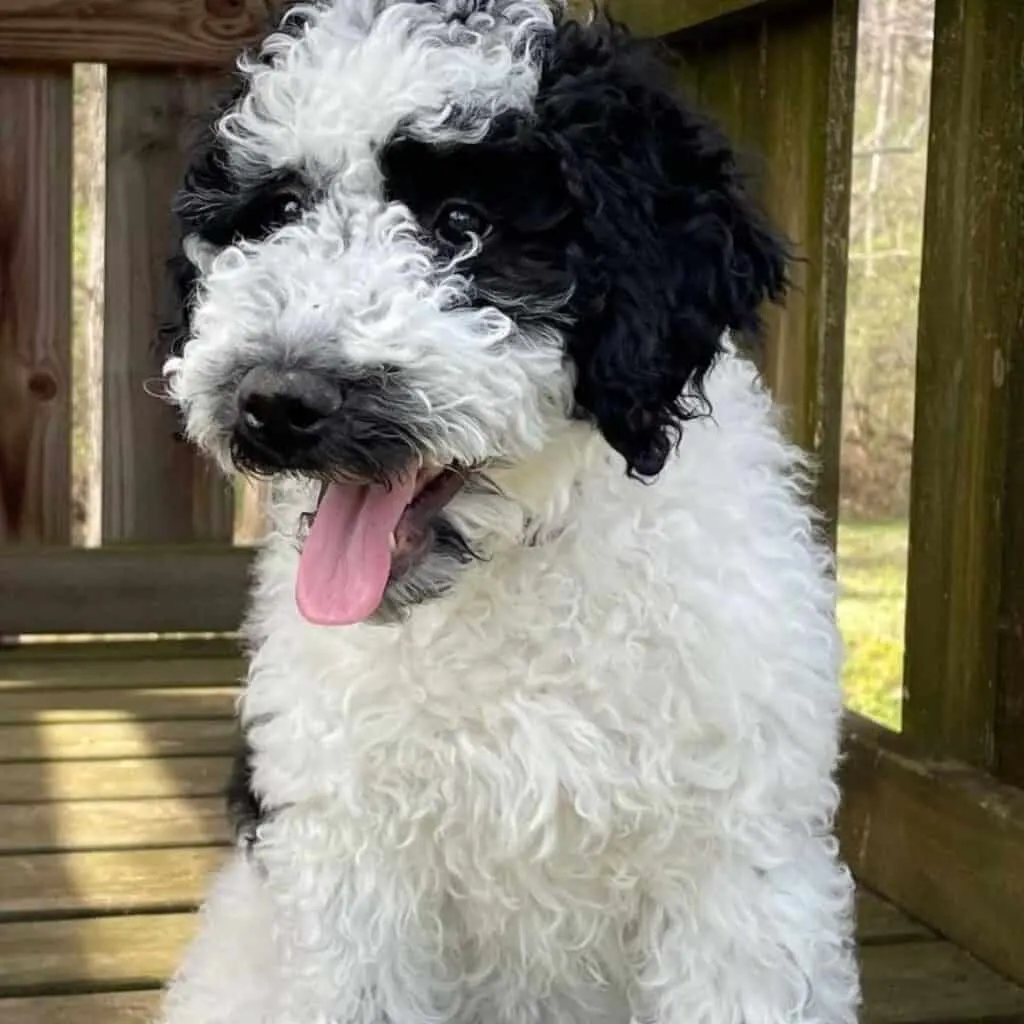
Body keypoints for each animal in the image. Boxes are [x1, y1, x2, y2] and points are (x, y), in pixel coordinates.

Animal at [159, 2, 860, 1024]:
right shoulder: (353, 868)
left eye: (464, 225)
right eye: (277, 214)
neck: (517, 578)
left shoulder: (735, 868)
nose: (276, 401)